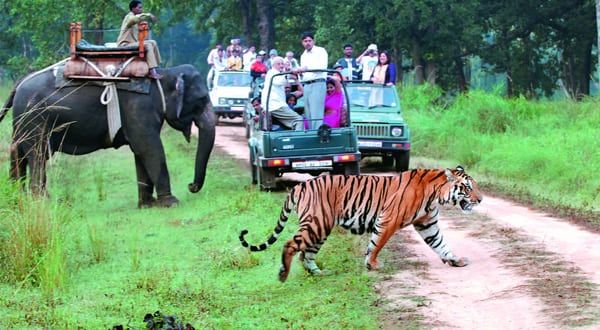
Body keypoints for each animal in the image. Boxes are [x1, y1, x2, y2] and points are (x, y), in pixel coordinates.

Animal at [0, 63, 216, 208]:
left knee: (18, 154)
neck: (163, 74)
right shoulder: (139, 107)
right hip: (35, 119)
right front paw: (171, 203)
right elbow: (150, 148)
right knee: (37, 155)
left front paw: (147, 205)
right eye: (201, 99)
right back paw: (43, 201)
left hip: (22, 121)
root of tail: (19, 83)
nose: (191, 186)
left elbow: (140, 151)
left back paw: (18, 198)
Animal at [239, 166, 482, 282]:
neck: (436, 195)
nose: (480, 200)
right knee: (291, 245)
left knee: (305, 253)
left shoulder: (427, 224)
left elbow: (440, 244)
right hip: (317, 223)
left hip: (320, 228)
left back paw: (318, 273)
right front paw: (372, 264)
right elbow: (377, 243)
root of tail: (300, 185)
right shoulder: (389, 220)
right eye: (468, 188)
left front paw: (455, 260)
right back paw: (283, 274)